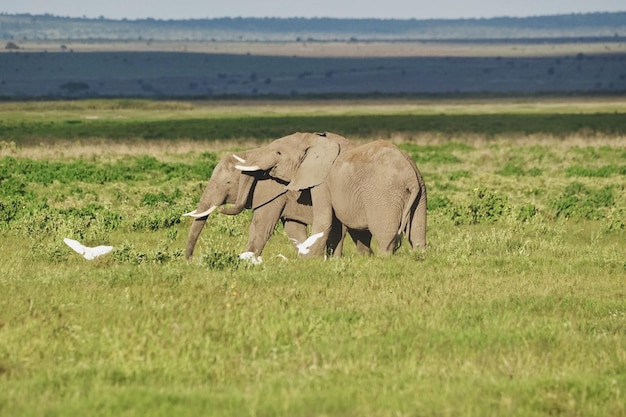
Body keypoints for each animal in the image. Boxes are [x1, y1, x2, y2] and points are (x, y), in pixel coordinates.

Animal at [233, 132, 424, 255]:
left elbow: (324, 221)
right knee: (417, 233)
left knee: (386, 237)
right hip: (421, 193)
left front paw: (307, 262)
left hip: (384, 195)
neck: (314, 140)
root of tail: (410, 174)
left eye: (279, 153)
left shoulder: (322, 182)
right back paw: (419, 258)